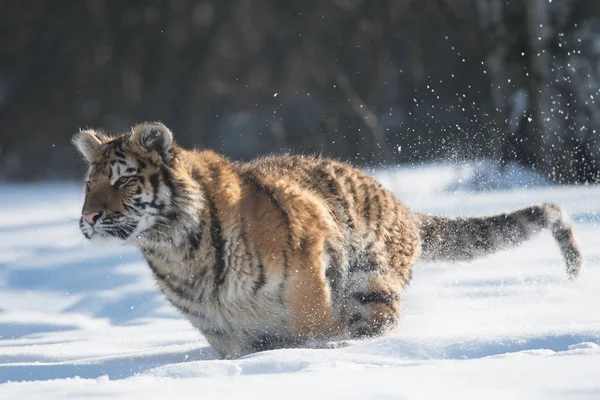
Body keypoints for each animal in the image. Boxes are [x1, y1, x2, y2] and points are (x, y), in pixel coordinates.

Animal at [72, 122, 584, 360]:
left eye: (123, 180)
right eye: (88, 184)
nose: (89, 217)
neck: (178, 250)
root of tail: (404, 208)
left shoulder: (308, 253)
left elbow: (312, 326)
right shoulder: (223, 331)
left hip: (371, 281)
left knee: (375, 322)